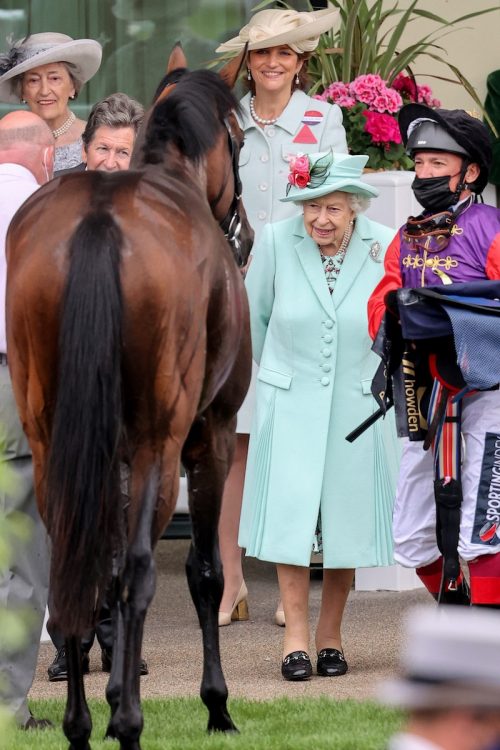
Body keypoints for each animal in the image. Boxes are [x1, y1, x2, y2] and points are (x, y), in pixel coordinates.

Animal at [4, 50, 250, 748]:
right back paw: (130, 724)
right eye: (242, 138)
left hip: (53, 440)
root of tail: (99, 219)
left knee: (73, 563)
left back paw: (81, 724)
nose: (245, 233)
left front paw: (112, 693)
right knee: (140, 569)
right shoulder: (211, 436)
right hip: (158, 448)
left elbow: (102, 570)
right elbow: (203, 570)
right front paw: (215, 705)